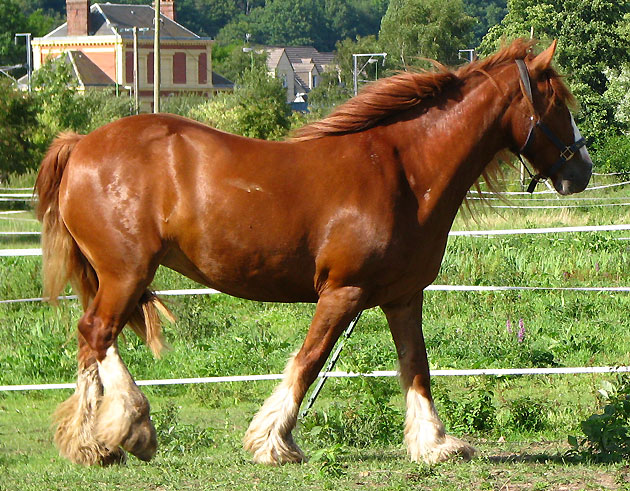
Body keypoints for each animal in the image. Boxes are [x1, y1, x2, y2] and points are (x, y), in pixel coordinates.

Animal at [37, 40, 592, 468]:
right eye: (558, 104)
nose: (581, 170)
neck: (404, 171)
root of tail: (81, 143)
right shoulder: (343, 293)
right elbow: (308, 363)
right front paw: (271, 443)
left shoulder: (403, 296)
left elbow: (417, 366)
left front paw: (433, 443)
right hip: (125, 273)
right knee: (96, 335)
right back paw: (113, 436)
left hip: (121, 277)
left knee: (95, 340)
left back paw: (110, 435)